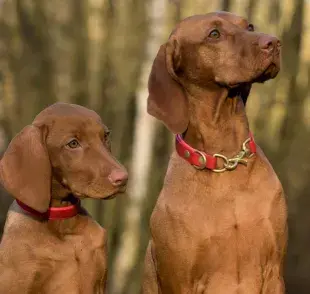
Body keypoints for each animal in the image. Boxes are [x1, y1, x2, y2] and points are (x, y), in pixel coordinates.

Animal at [143, 10, 288, 294]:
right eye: (214, 34)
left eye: (249, 26)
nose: (274, 42)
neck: (226, 159)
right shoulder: (180, 282)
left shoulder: (274, 271)